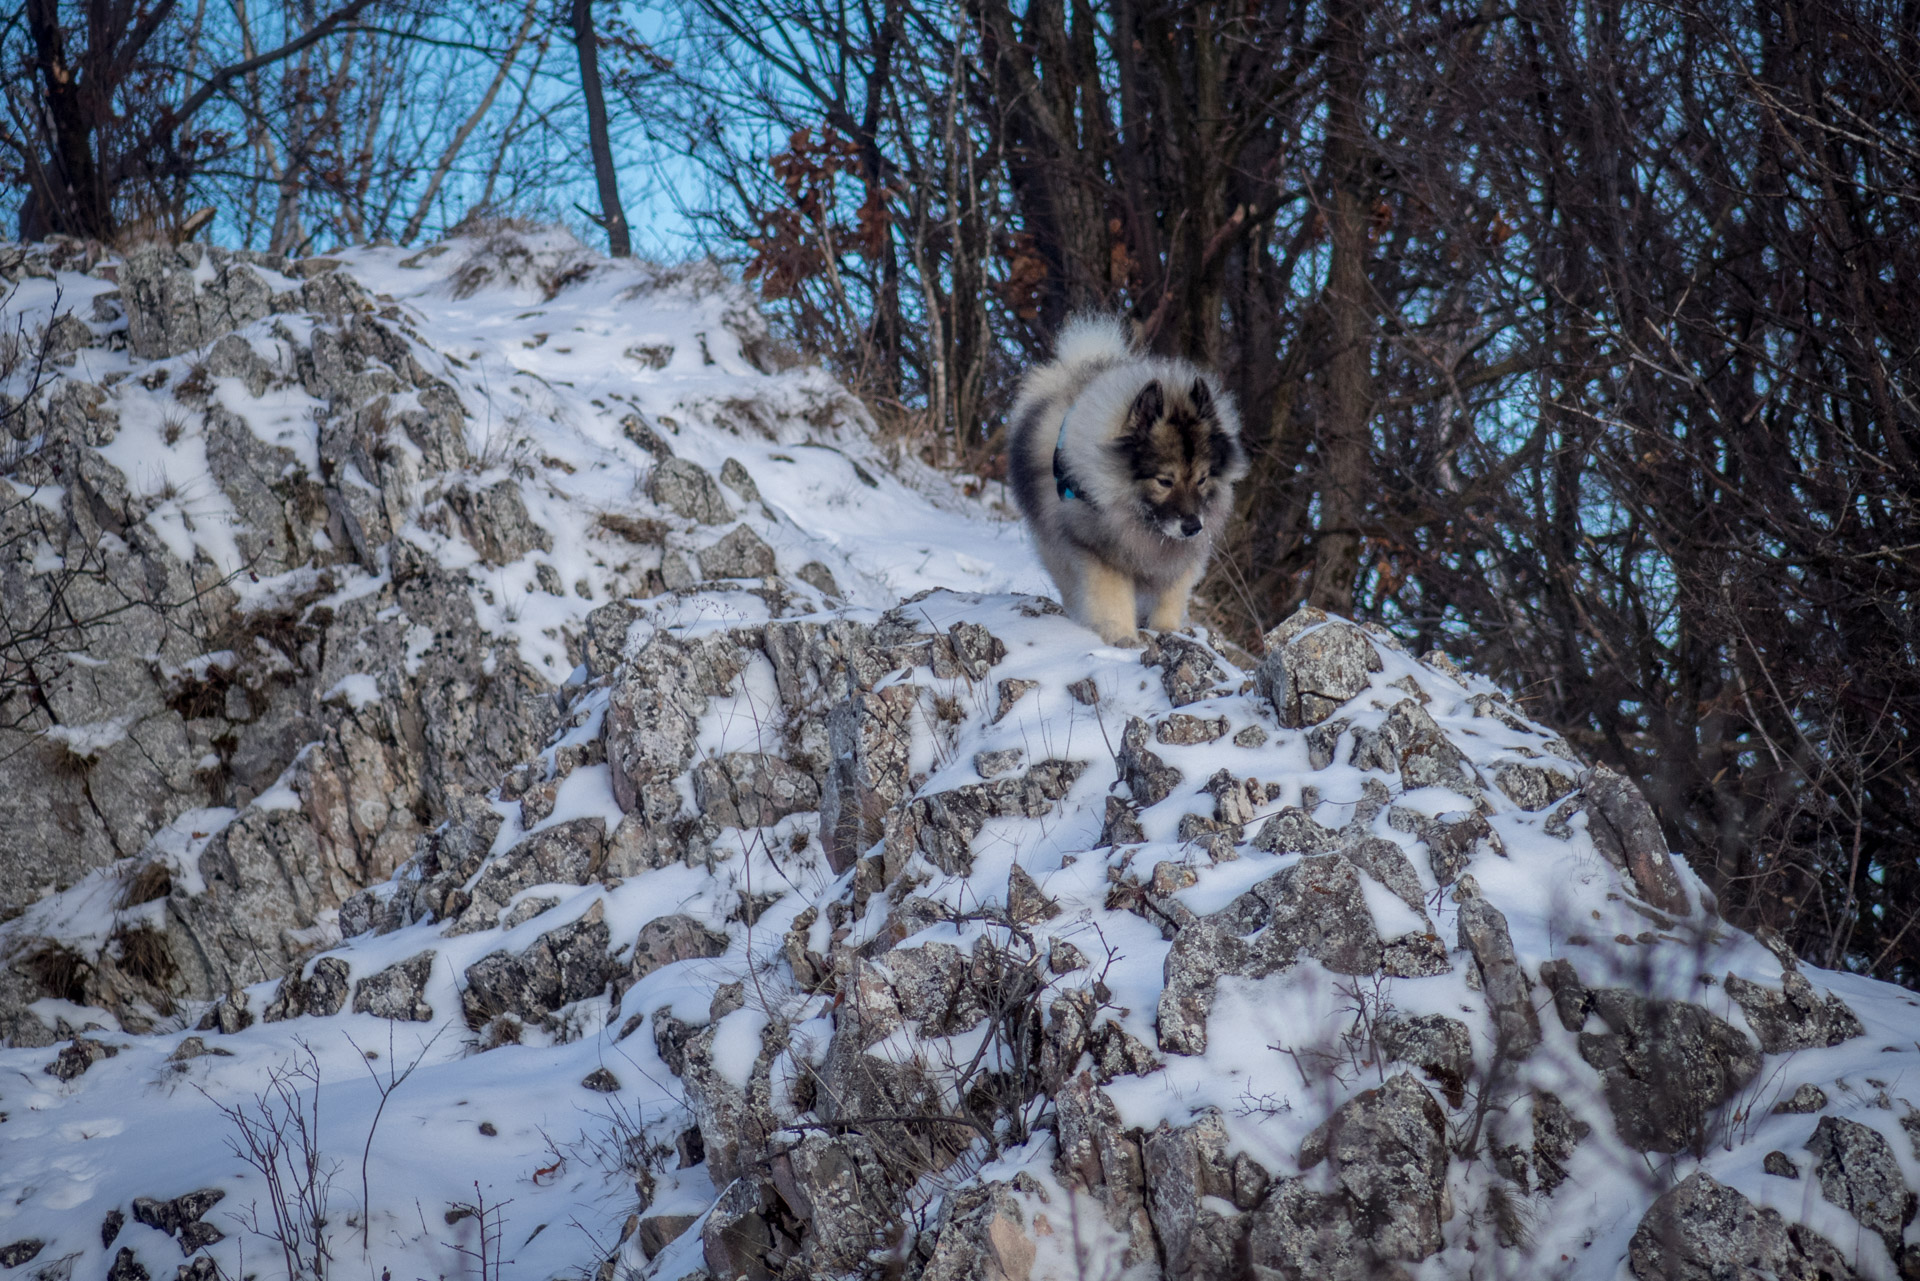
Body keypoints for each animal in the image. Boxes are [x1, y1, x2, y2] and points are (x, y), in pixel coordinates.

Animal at [1006, 316, 1244, 645]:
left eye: (1202, 478)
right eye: (1164, 481)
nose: (1193, 527)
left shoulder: (1176, 560)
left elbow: (1170, 598)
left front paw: (1167, 631)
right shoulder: (1100, 552)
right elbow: (1112, 598)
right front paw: (1121, 637)